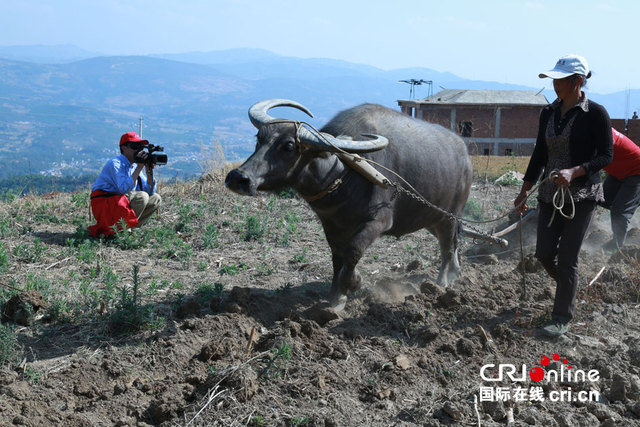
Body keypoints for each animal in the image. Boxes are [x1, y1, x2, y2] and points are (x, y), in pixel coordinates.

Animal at [228, 99, 472, 310]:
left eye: (288, 146)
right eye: (259, 137)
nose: (238, 178)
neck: (344, 173)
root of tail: (464, 152)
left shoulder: (378, 221)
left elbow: (352, 251)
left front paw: (354, 283)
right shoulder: (332, 225)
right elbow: (337, 258)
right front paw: (336, 296)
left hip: (451, 215)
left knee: (448, 246)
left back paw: (443, 282)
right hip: (431, 218)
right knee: (451, 242)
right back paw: (456, 272)